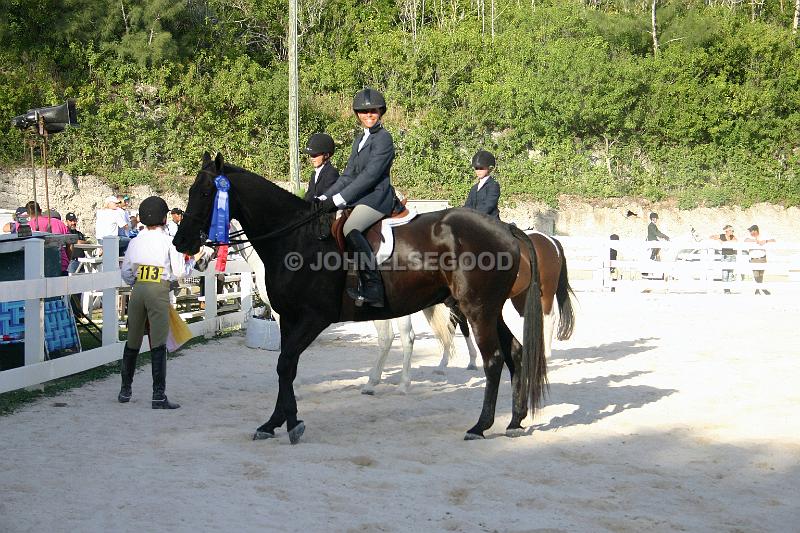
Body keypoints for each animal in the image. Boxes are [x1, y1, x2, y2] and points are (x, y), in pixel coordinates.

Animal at [175, 152, 576, 442]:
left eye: (206, 193)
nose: (183, 245)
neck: (296, 239)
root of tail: (508, 228)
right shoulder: (289, 319)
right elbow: (285, 368)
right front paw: (274, 422)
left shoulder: (312, 319)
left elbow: (285, 366)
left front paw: (292, 424)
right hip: (490, 309)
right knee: (516, 353)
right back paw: (515, 420)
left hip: (479, 309)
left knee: (495, 359)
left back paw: (479, 426)